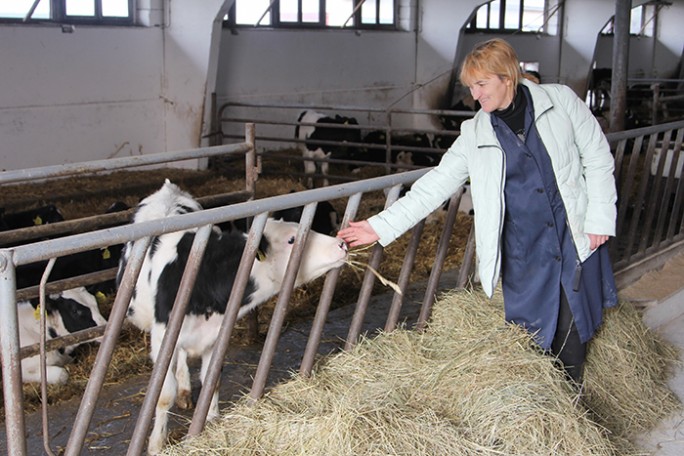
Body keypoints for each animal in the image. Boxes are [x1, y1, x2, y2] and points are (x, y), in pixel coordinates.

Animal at [116, 180, 348, 454]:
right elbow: (163, 396)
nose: (341, 244)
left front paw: (210, 421)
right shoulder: (163, 338)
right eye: (292, 239)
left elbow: (212, 380)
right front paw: (156, 443)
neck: (204, 278)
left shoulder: (215, 334)